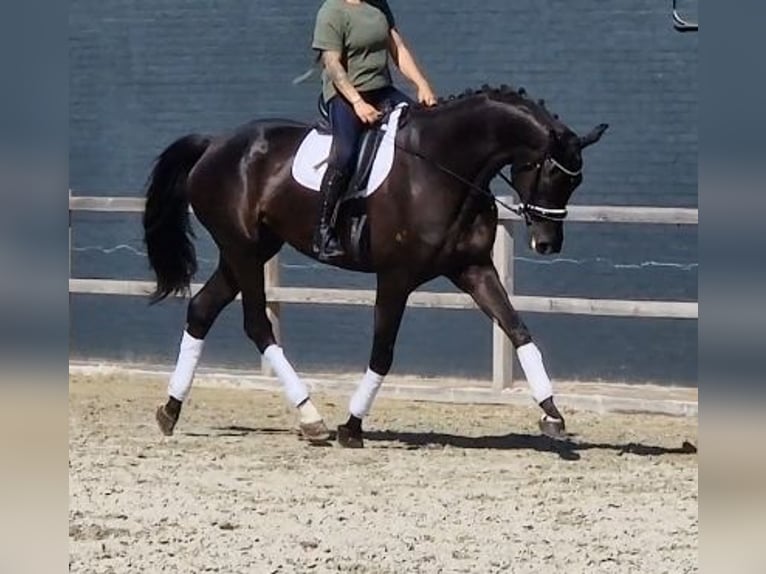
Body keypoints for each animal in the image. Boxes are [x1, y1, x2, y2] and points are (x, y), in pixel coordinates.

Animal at [143, 84, 608, 447]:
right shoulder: (396, 277)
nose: (547, 243)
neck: (443, 166)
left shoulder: (474, 269)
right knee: (257, 323)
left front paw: (552, 414)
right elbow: (382, 352)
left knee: (202, 310)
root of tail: (215, 143)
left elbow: (517, 330)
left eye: (577, 180)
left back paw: (170, 411)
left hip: (247, 252)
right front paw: (352, 426)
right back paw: (311, 418)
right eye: (551, 173)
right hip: (242, 249)